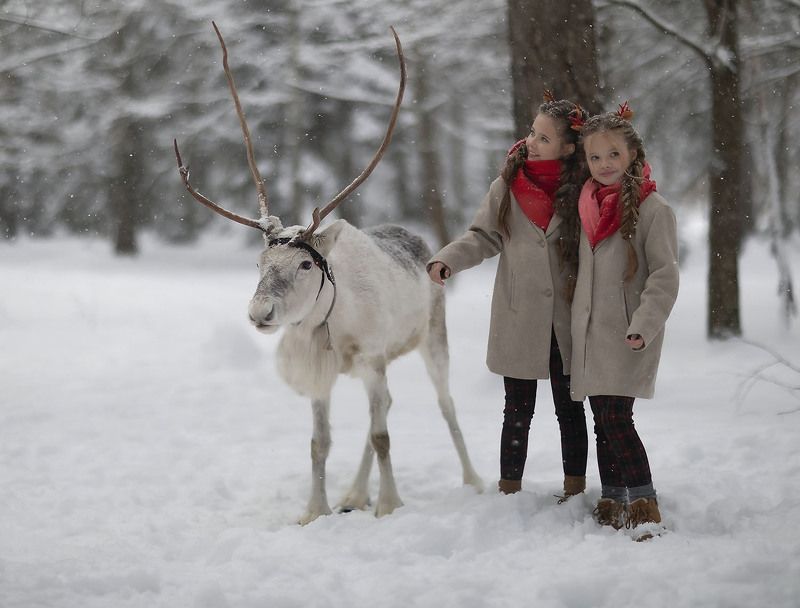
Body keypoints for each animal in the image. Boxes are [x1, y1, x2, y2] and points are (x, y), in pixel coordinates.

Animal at [174, 23, 483, 525]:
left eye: (305, 263)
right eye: (259, 263)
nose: (260, 312)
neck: (334, 321)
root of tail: (419, 240)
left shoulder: (374, 356)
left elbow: (382, 436)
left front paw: (389, 506)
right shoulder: (325, 373)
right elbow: (319, 443)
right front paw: (314, 511)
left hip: (432, 338)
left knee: (444, 404)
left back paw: (473, 480)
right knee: (388, 407)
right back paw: (353, 494)